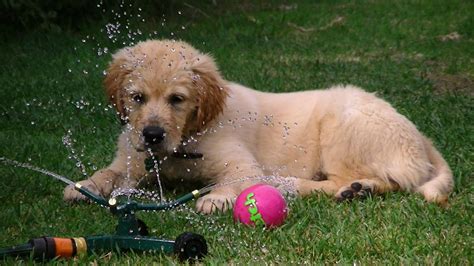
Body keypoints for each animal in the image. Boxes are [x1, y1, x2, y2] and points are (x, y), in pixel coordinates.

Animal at [63, 39, 452, 213]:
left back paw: (297, 184)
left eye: (177, 99)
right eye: (137, 98)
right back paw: (360, 190)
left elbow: (233, 180)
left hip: (341, 123)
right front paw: (84, 185)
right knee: (387, 180)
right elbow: (110, 172)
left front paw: (215, 198)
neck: (187, 137)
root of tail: (418, 136)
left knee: (360, 179)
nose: (152, 135)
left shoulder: (241, 164)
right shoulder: (129, 158)